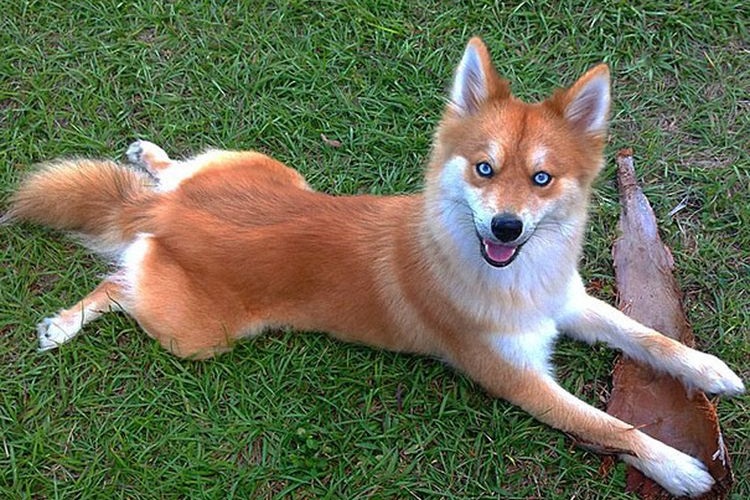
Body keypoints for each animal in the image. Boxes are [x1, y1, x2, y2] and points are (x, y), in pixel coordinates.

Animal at [3, 37, 744, 497]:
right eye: (483, 169)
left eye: (542, 178)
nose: (506, 227)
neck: (510, 275)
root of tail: (169, 215)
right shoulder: (518, 379)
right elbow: (607, 425)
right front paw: (677, 466)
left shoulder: (566, 302)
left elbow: (645, 336)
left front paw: (710, 369)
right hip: (197, 335)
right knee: (113, 281)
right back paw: (64, 323)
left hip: (262, 171)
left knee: (170, 178)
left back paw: (149, 156)